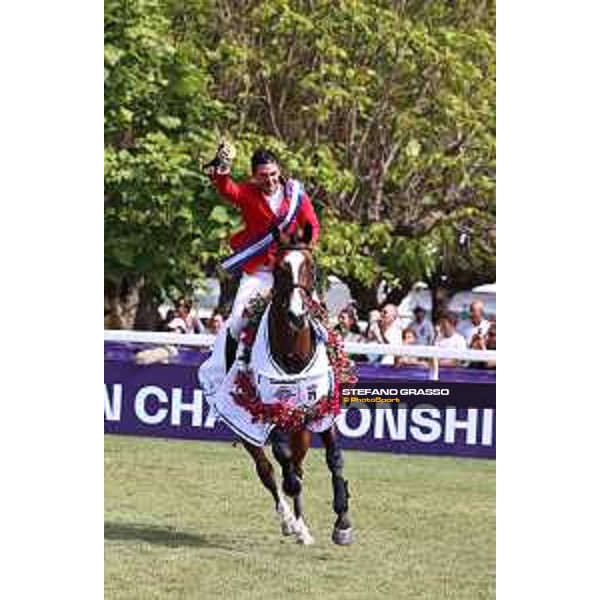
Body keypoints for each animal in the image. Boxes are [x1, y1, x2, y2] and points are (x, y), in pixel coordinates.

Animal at [232, 227, 354, 548]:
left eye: (311, 267)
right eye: (279, 268)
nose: (297, 316)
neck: (293, 353)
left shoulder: (322, 409)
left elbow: (334, 458)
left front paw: (343, 522)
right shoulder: (270, 410)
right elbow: (282, 463)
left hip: (301, 427)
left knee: (296, 465)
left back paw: (302, 526)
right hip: (248, 426)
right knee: (268, 470)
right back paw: (289, 521)